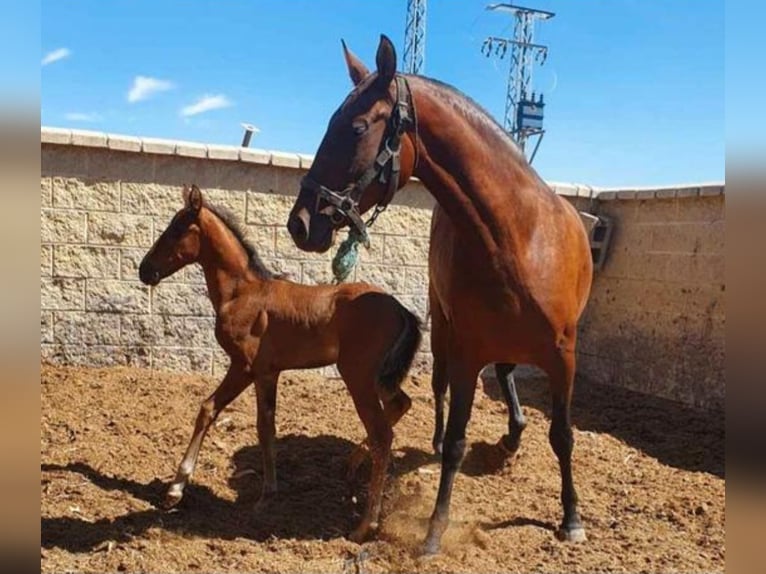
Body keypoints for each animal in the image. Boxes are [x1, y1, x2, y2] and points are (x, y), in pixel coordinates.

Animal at [141, 186, 424, 544]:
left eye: (178, 229)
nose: (144, 270)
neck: (243, 292)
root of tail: (401, 309)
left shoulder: (248, 368)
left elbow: (234, 417)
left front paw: (183, 489)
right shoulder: (267, 371)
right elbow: (246, 420)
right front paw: (262, 492)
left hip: (357, 376)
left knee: (382, 435)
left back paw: (364, 526)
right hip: (380, 378)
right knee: (401, 404)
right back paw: (351, 464)